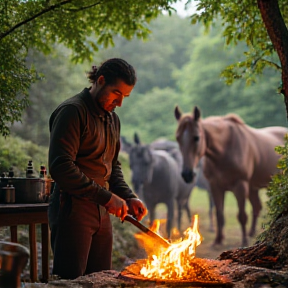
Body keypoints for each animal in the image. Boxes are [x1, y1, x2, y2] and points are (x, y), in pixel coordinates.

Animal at [174, 105, 286, 245]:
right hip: (252, 188)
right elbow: (219, 214)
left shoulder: (240, 185)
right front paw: (218, 241)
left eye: (196, 137)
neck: (225, 150)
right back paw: (251, 233)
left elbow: (242, 216)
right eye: (178, 138)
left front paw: (244, 242)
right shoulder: (215, 187)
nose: (187, 174)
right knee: (256, 207)